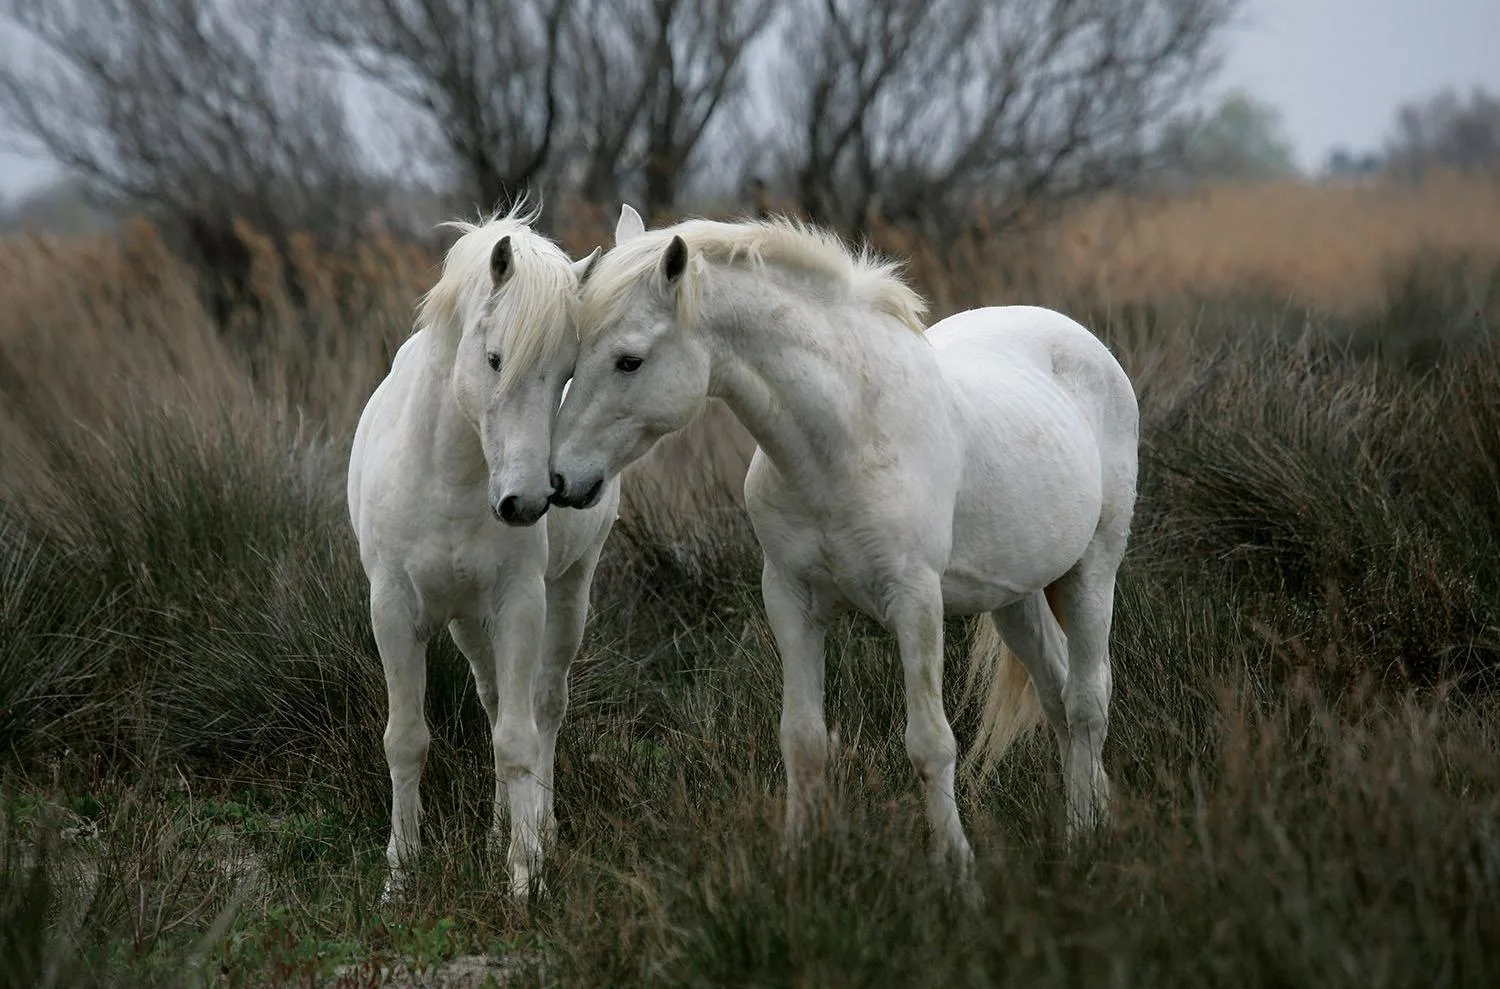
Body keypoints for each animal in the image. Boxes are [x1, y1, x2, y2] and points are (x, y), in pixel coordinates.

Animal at [347, 204, 616, 900]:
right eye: (494, 359)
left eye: (566, 372)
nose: (526, 502)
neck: (449, 475)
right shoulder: (393, 610)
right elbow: (406, 740)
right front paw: (400, 876)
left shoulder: (520, 604)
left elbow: (518, 740)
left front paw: (524, 878)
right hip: (468, 621)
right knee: (495, 701)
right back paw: (498, 830)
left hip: (568, 593)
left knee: (542, 707)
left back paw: (538, 830)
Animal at [550, 205, 1138, 868]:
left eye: (629, 360)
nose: (560, 479)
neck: (848, 435)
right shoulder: (791, 600)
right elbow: (802, 740)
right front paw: (795, 862)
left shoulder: (916, 603)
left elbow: (930, 744)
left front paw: (957, 868)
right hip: (1015, 597)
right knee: (1058, 698)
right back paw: (1093, 812)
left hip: (1094, 570)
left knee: (1087, 704)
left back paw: (1082, 836)